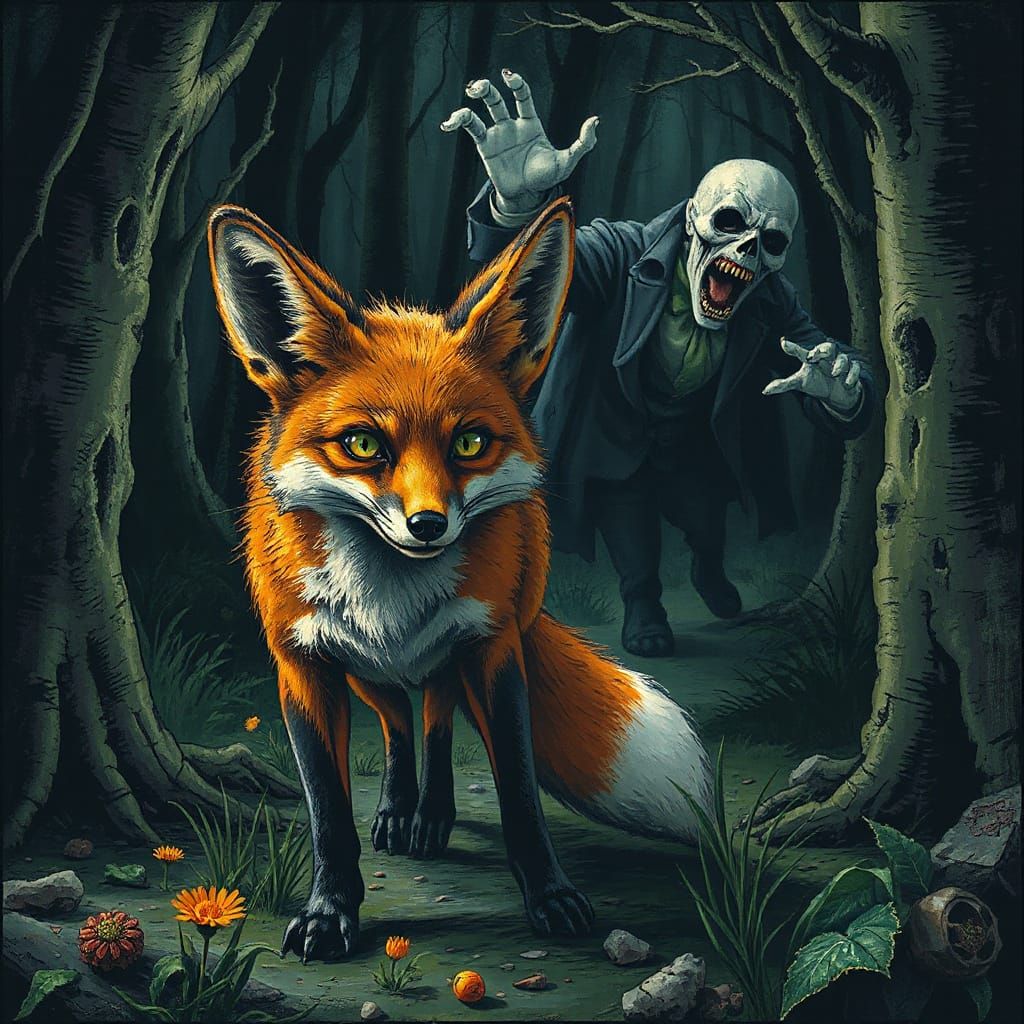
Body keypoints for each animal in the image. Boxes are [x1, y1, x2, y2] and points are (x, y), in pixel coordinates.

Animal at [206, 197, 711, 961]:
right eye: (363, 444)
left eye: (469, 442)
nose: (427, 525)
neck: (392, 604)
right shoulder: (303, 665)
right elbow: (328, 811)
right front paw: (330, 912)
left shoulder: (494, 650)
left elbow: (519, 792)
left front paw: (550, 896)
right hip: (364, 672)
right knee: (397, 720)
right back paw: (398, 808)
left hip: (467, 649)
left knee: (437, 714)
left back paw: (432, 815)